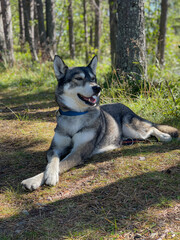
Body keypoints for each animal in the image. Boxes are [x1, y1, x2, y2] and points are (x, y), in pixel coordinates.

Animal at [21, 55, 179, 190]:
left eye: (93, 78)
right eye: (78, 78)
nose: (97, 88)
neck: (76, 114)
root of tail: (126, 106)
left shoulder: (78, 152)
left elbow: (62, 163)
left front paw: (36, 179)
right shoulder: (54, 148)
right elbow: (53, 162)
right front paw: (44, 176)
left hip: (132, 128)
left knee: (151, 128)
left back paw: (164, 136)